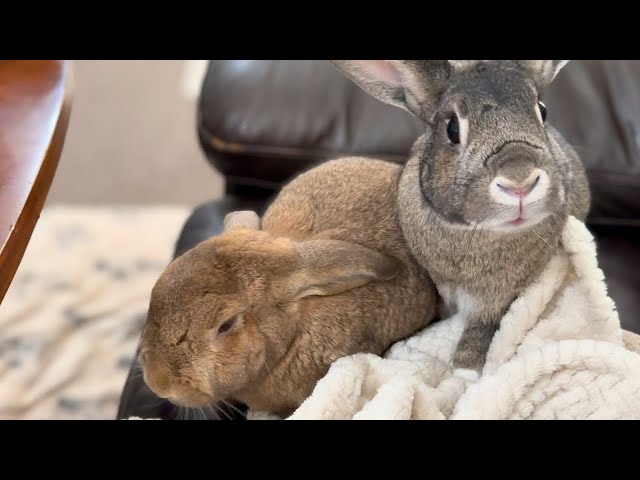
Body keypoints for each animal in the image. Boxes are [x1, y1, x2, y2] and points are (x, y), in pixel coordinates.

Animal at [331, 60, 591, 376]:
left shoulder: (498, 299)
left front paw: (465, 371)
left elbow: (482, 329)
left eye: (542, 111)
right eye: (452, 128)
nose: (519, 181)